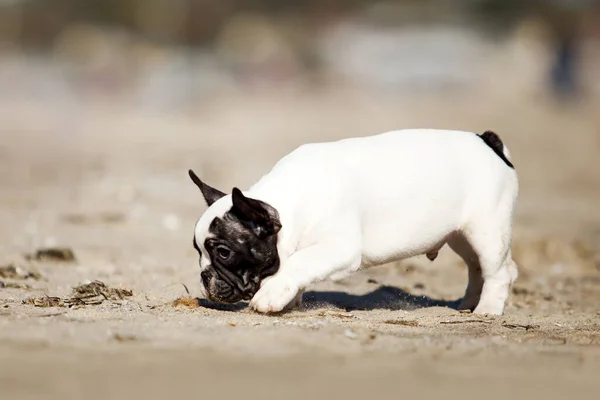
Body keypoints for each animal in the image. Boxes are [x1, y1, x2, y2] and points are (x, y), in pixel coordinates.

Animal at [190, 129, 516, 316]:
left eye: (223, 253)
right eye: (198, 252)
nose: (204, 276)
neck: (288, 201)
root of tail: (489, 142)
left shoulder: (340, 248)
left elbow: (298, 262)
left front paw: (272, 294)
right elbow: (297, 263)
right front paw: (288, 297)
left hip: (486, 230)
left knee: (497, 271)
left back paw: (487, 309)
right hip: (461, 235)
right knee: (481, 267)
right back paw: (469, 303)